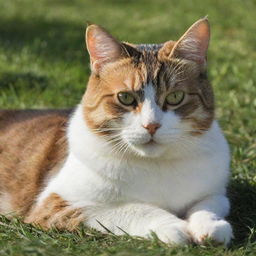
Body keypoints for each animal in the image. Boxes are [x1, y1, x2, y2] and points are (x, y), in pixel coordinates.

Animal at [0, 18, 233, 246]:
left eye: (175, 97)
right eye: (125, 97)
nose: (151, 125)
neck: (155, 164)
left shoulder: (216, 193)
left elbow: (207, 205)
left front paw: (210, 225)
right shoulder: (58, 204)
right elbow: (133, 209)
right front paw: (173, 227)